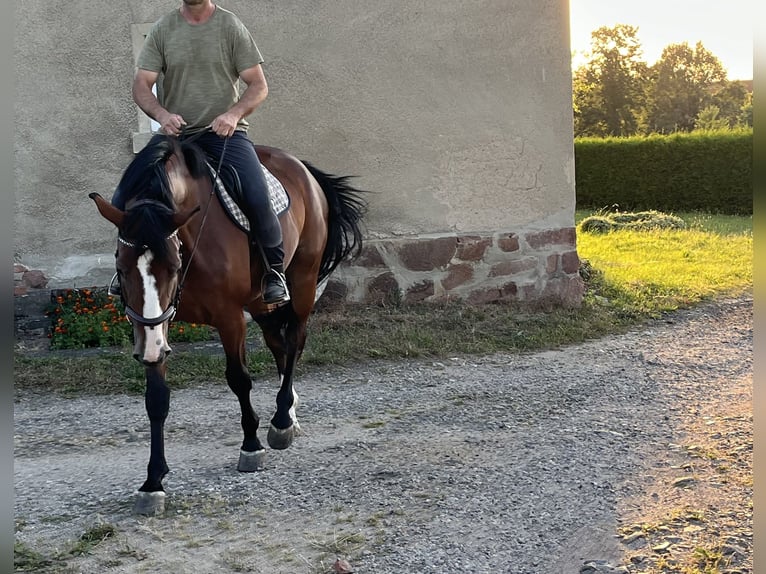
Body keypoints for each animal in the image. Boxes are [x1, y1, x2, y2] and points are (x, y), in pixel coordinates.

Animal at [89, 133, 366, 515]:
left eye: (174, 265)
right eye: (121, 264)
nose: (152, 349)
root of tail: (304, 170)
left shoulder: (229, 316)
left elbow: (239, 379)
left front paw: (251, 445)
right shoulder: (153, 324)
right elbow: (156, 398)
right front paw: (153, 482)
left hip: (303, 281)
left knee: (295, 340)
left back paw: (281, 422)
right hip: (261, 302)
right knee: (279, 345)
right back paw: (288, 412)